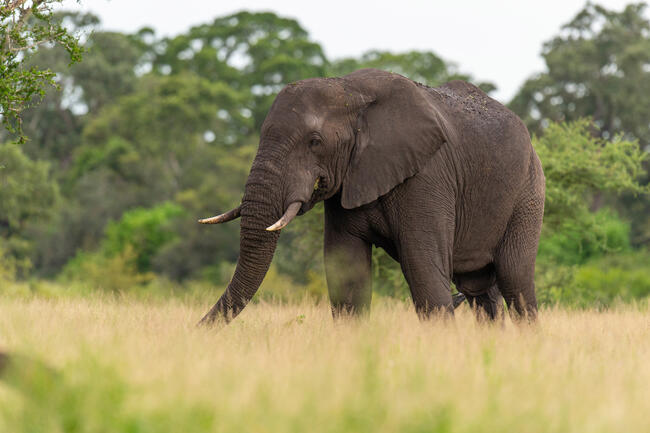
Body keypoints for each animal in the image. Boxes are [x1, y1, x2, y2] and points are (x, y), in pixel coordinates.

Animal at [197, 68, 540, 324]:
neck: (348, 90)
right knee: (480, 288)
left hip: (528, 190)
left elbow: (422, 267)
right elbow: (346, 272)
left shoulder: (427, 175)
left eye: (314, 142)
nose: (197, 329)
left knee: (515, 278)